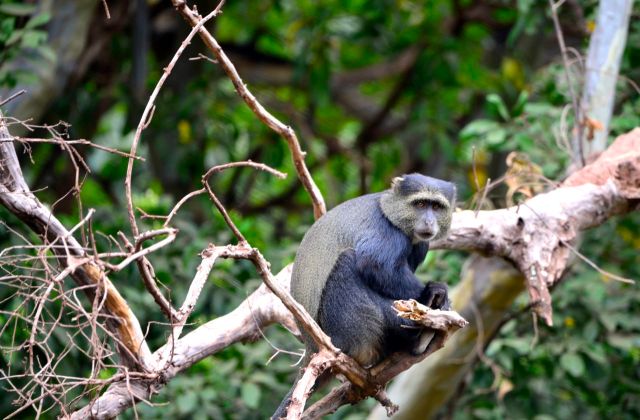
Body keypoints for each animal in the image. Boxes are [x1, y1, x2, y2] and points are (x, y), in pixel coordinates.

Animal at [272, 173, 456, 419]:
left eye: (436, 207)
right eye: (419, 204)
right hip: (345, 332)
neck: (390, 209)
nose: (428, 222)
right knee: (348, 261)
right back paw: (416, 337)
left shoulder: (421, 244)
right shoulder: (385, 231)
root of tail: (313, 349)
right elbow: (375, 265)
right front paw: (434, 294)